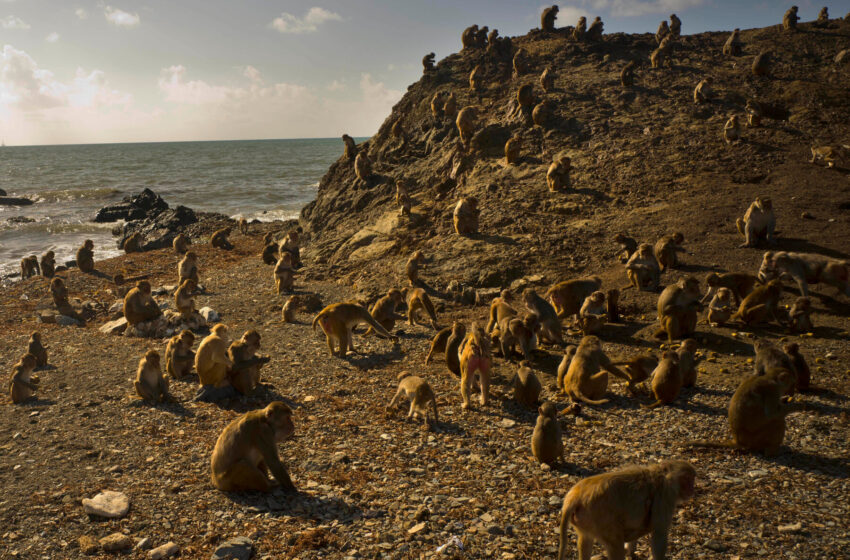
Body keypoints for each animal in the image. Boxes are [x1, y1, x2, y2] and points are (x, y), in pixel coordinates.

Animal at [556, 460, 696, 560]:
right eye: (686, 479)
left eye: (692, 480)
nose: (692, 488)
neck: (662, 476)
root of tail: (575, 495)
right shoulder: (666, 496)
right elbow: (659, 534)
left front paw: (631, 550)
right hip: (599, 518)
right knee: (615, 543)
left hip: (584, 520)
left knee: (586, 539)